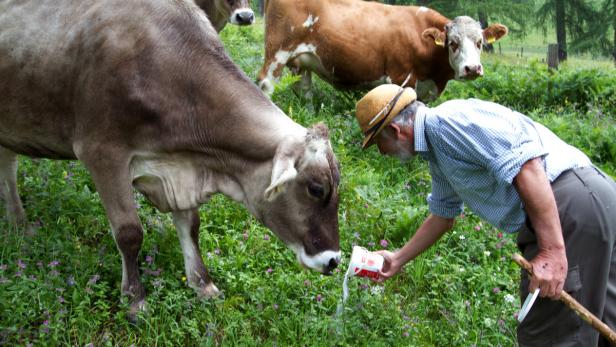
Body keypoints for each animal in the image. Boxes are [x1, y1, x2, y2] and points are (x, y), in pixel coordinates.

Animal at [258, 0, 508, 101]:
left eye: (479, 42)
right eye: (453, 43)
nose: (472, 68)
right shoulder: (401, 78)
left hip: (302, 60)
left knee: (304, 90)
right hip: (277, 51)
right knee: (266, 83)